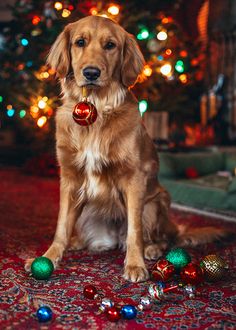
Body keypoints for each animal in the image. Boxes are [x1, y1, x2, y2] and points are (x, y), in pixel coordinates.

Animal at [24, 16, 225, 282]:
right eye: (80, 42)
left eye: (110, 45)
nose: (91, 72)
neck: (96, 108)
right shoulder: (69, 177)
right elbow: (61, 226)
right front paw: (48, 257)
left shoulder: (134, 178)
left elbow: (134, 230)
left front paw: (135, 264)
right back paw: (77, 242)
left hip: (156, 202)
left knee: (163, 238)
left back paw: (151, 249)